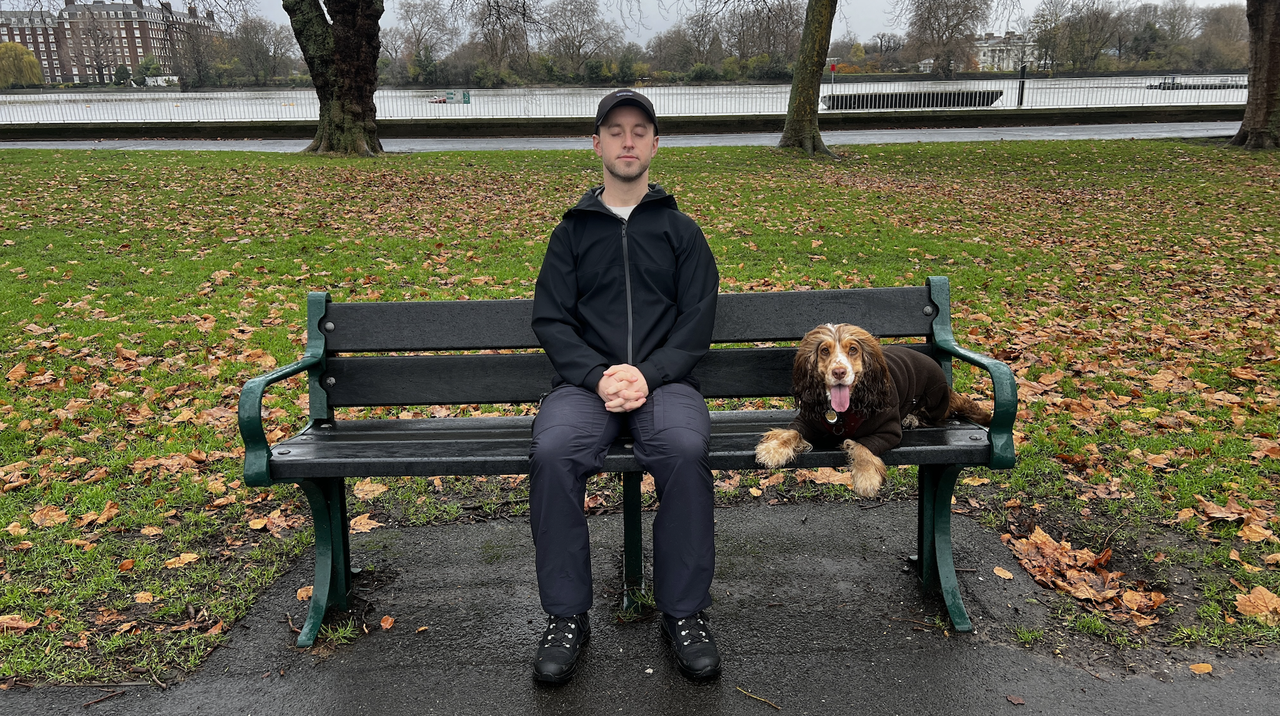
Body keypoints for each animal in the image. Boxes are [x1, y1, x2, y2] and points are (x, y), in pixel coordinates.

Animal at [752, 325, 993, 499]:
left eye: (853, 349)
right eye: (824, 351)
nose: (839, 372)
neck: (845, 409)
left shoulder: (887, 432)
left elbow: (863, 447)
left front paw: (866, 478)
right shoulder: (807, 420)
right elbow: (791, 432)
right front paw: (773, 450)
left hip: (934, 400)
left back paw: (911, 418)